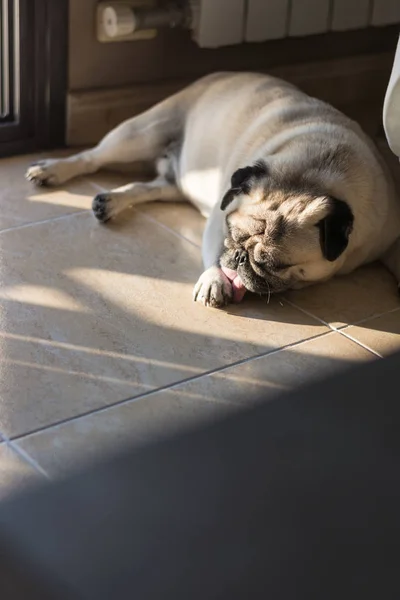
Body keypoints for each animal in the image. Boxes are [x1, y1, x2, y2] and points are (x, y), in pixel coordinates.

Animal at [25, 72, 400, 308]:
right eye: (234, 236)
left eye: (276, 264)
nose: (239, 257)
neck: (312, 178)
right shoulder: (220, 217)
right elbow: (212, 253)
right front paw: (214, 279)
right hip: (139, 134)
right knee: (90, 157)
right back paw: (53, 170)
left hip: (178, 180)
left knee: (151, 186)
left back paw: (110, 201)